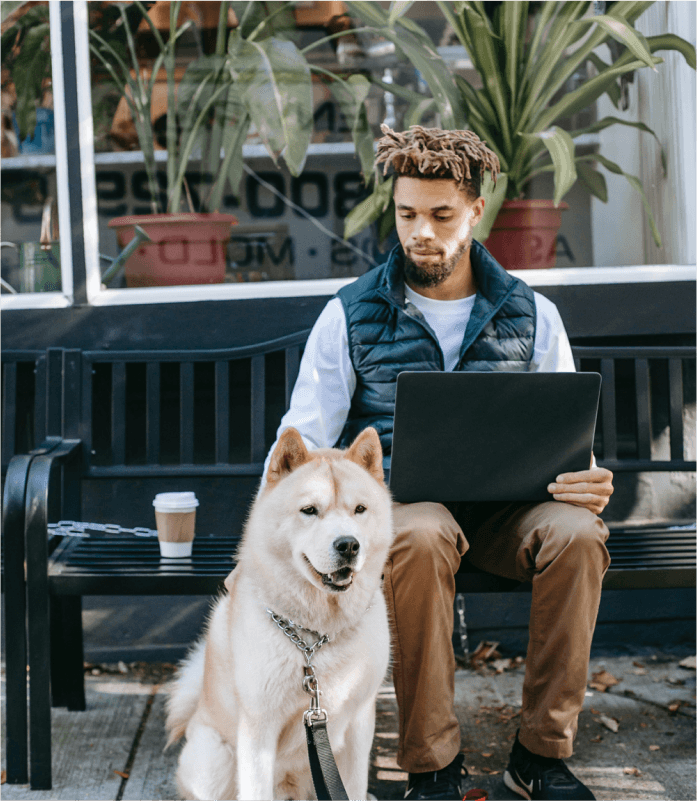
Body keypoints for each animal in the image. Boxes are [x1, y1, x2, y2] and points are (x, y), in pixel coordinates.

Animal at [163, 428, 392, 800]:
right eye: (309, 510)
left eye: (360, 509)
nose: (348, 545)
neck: (316, 635)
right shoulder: (258, 729)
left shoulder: (359, 724)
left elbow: (355, 786)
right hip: (215, 761)